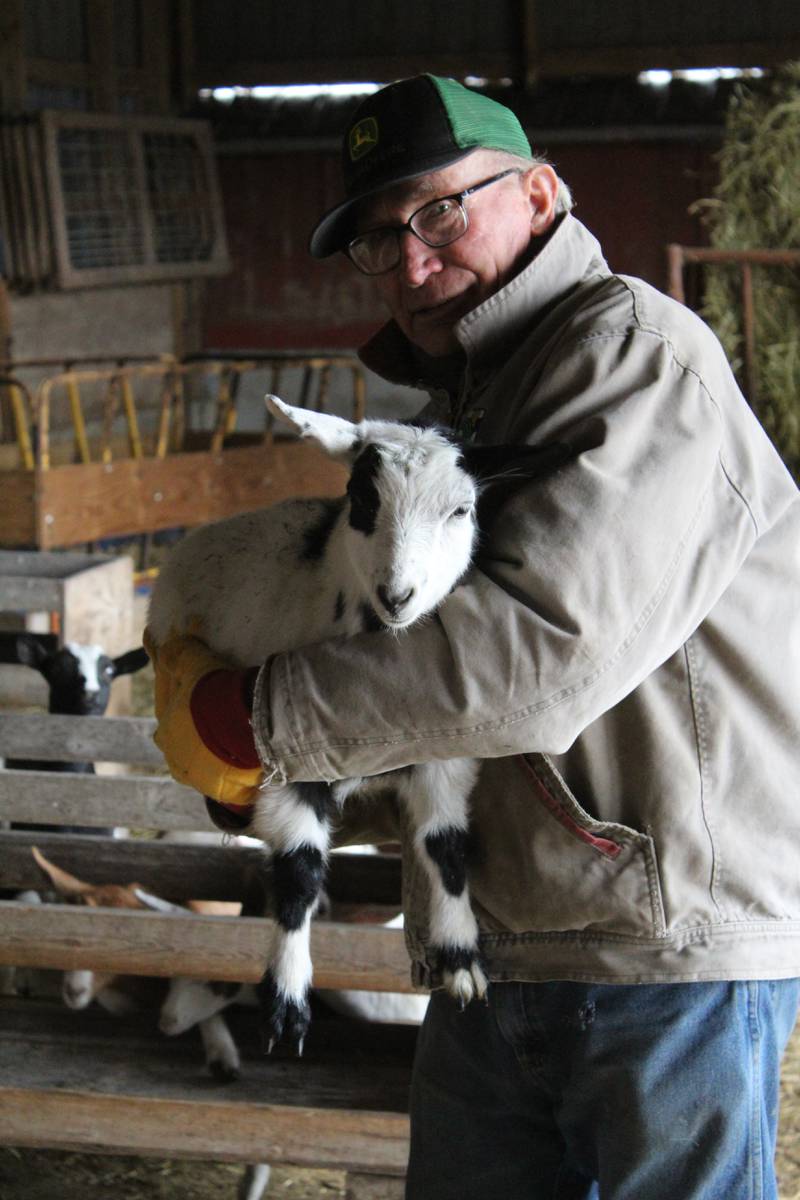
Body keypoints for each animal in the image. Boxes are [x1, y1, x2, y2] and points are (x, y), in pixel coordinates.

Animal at [145, 396, 568, 1051]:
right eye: (361, 498)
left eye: (462, 509)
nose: (398, 596)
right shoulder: (287, 761)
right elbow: (298, 873)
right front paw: (287, 1000)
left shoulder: (444, 754)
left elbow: (446, 847)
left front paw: (460, 957)